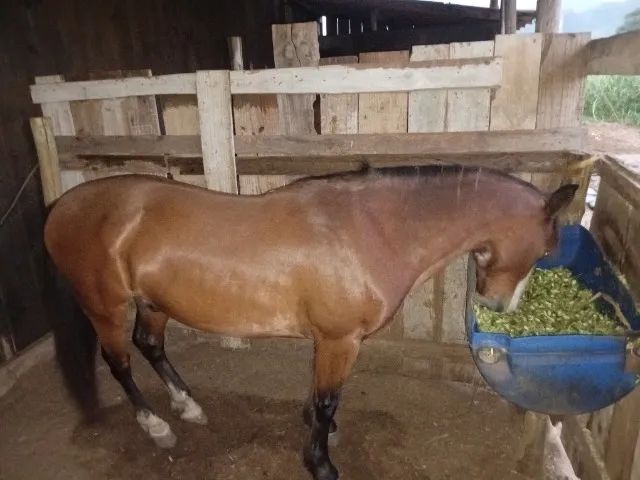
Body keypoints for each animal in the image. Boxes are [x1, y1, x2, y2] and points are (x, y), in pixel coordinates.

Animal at [44, 165, 578, 480]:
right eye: (545, 249)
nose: (498, 305)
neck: (372, 230)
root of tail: (60, 210)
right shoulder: (341, 340)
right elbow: (325, 401)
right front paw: (321, 463)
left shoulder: (328, 341)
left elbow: (318, 397)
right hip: (106, 307)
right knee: (118, 361)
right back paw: (155, 425)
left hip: (152, 303)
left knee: (150, 345)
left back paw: (188, 406)